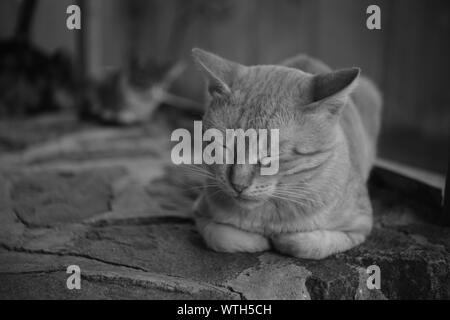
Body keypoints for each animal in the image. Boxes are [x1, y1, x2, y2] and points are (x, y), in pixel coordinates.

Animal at [192, 48, 382, 262]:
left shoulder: (360, 224)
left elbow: (304, 243)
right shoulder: (200, 213)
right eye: (225, 146)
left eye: (271, 155)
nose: (238, 185)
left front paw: (281, 238)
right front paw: (258, 240)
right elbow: (221, 237)